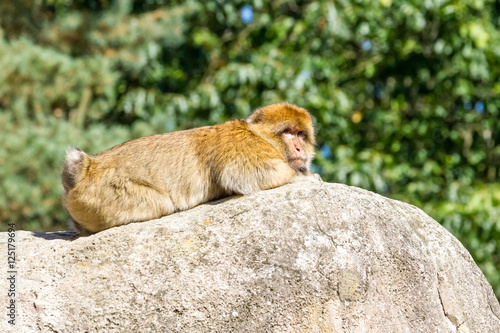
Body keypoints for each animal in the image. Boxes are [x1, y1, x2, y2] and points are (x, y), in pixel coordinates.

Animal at [60, 102, 314, 235]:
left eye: (301, 134)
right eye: (288, 132)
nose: (299, 148)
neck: (259, 135)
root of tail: (88, 166)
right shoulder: (246, 146)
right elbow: (245, 174)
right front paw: (306, 177)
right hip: (104, 195)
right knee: (161, 204)